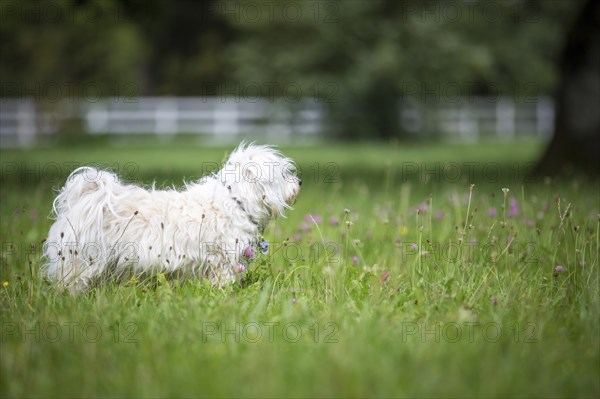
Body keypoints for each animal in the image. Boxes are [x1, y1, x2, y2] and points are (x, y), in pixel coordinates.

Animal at [43, 144, 300, 290]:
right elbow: (223, 281)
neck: (235, 199)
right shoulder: (223, 262)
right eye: (284, 174)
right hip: (81, 262)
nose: (299, 182)